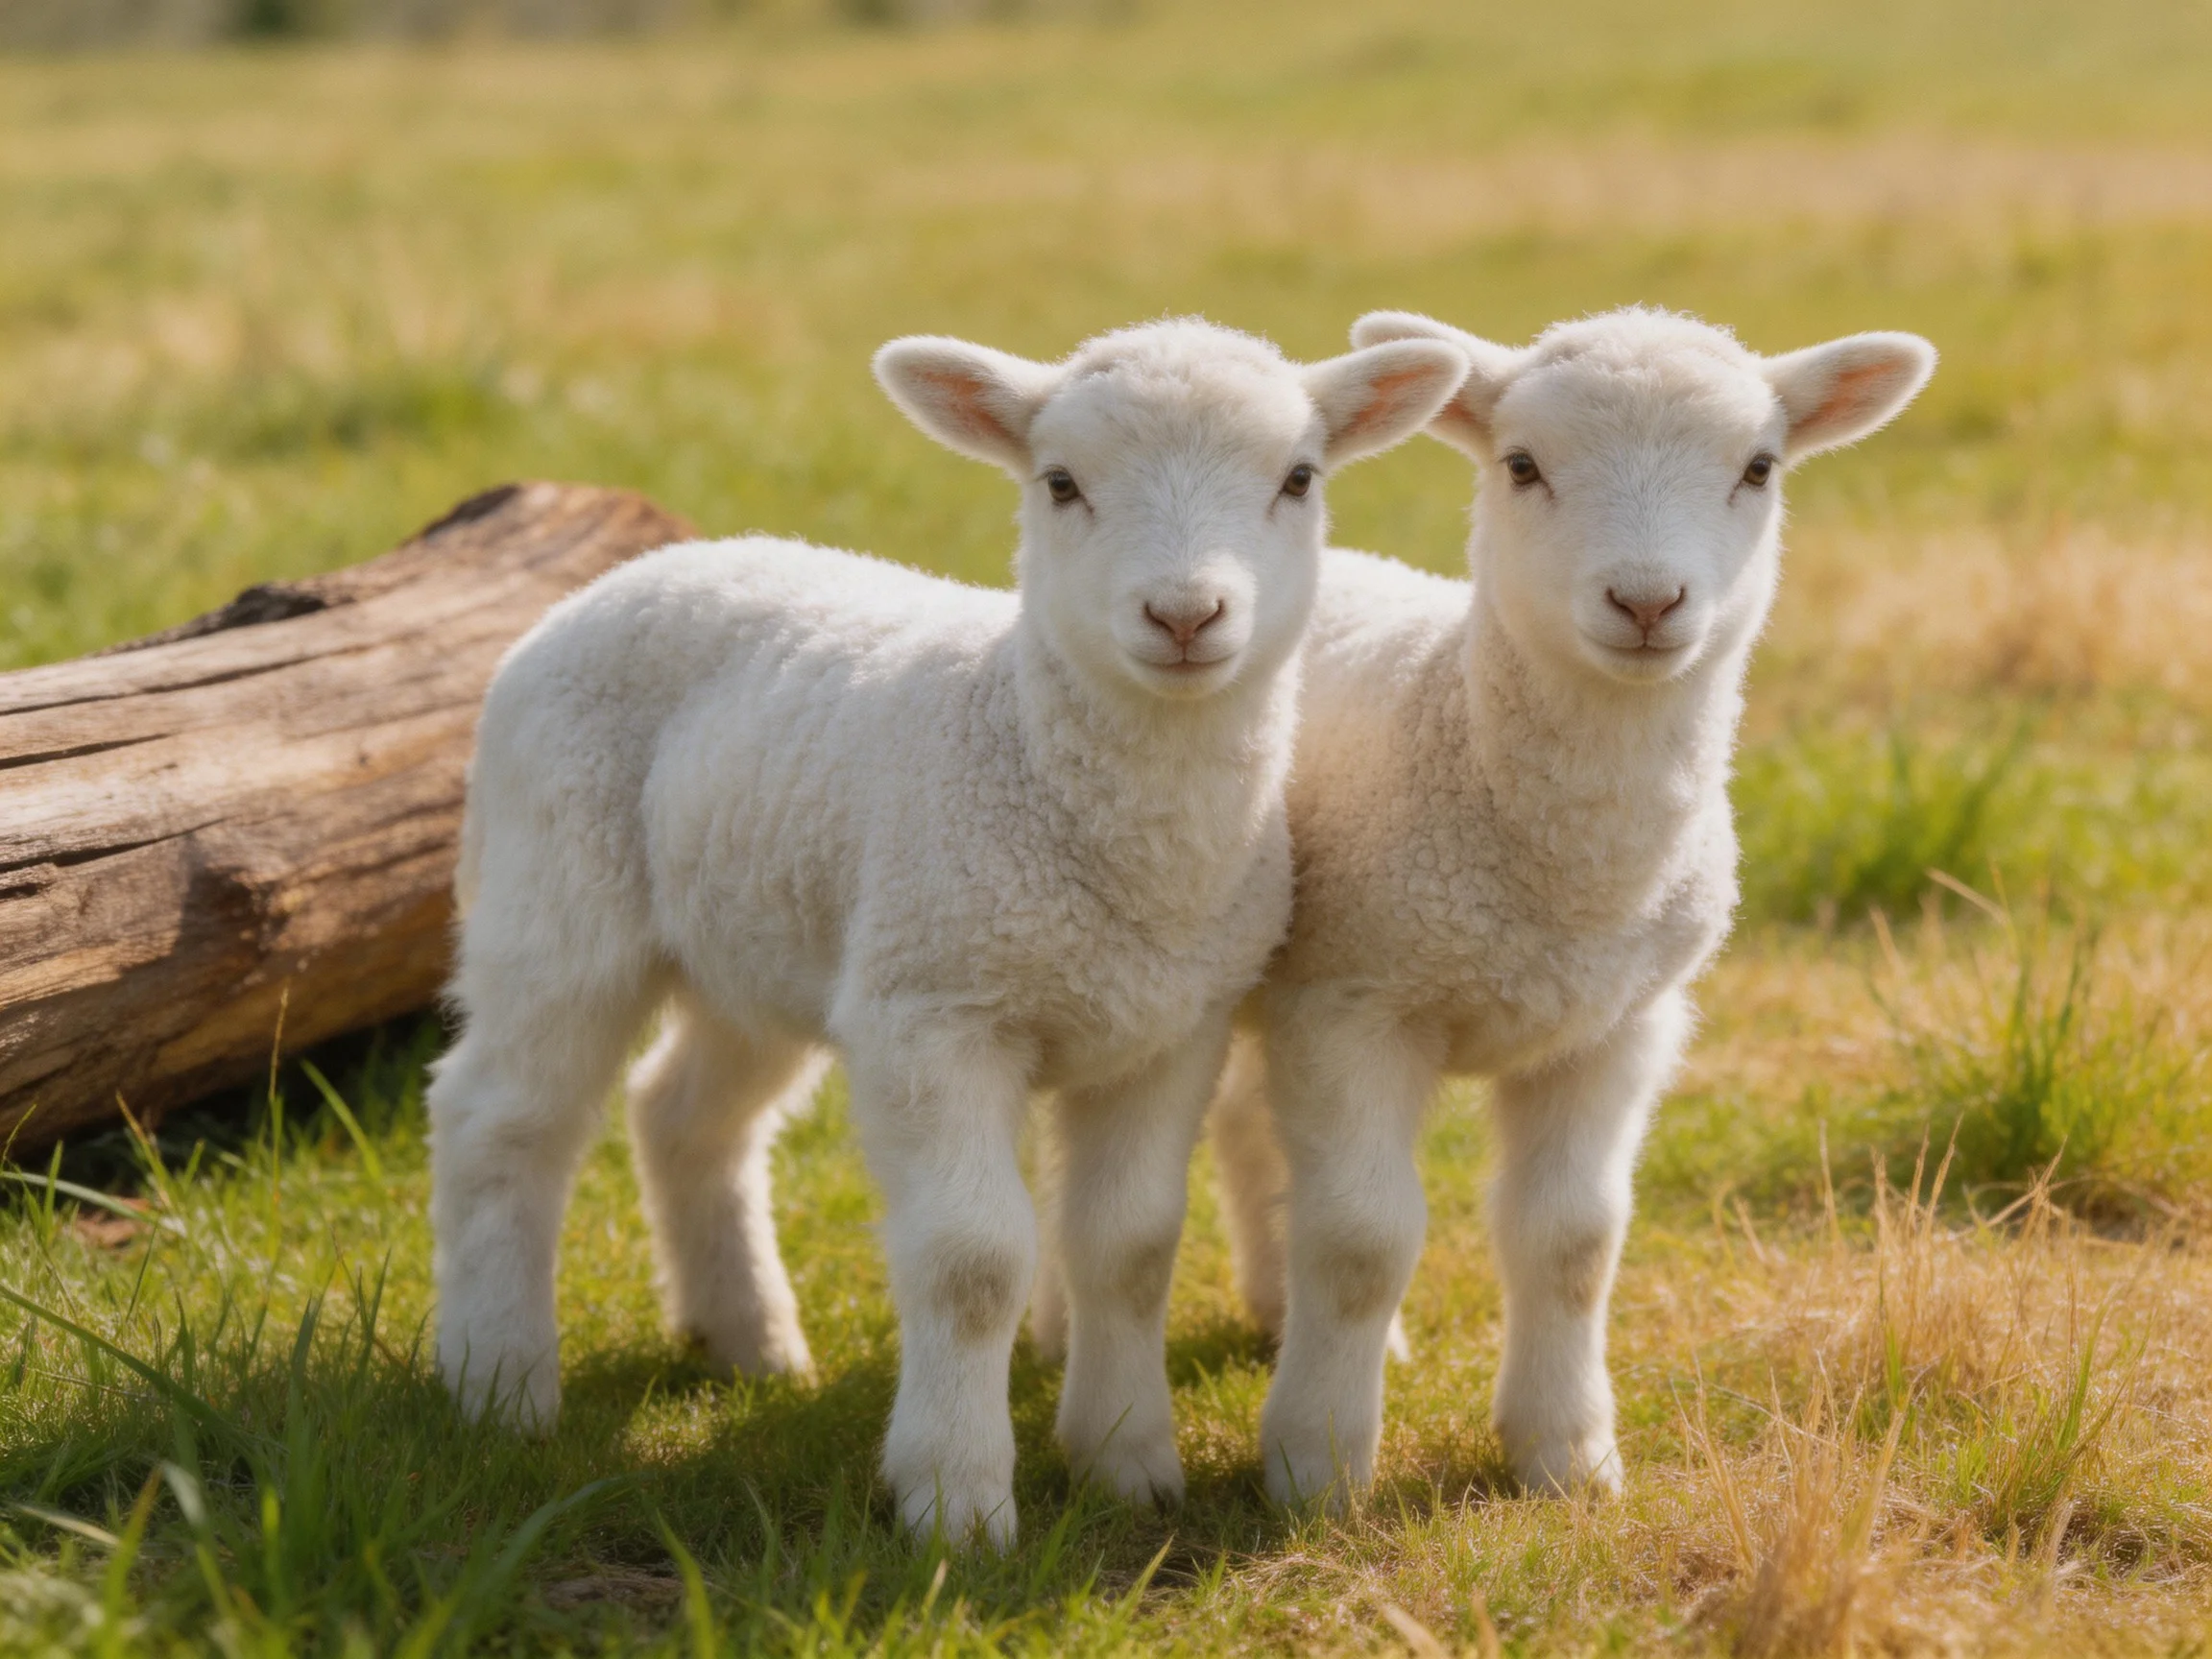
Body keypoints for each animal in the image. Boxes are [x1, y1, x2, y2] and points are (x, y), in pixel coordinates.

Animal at [423, 317, 1470, 1549]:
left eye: (1299, 478)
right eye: (1060, 483)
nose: (1183, 616)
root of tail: (635, 570)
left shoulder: (1170, 1028)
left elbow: (1127, 1248)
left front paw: (1126, 1463)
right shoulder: (935, 1012)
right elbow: (973, 1261)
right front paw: (958, 1503)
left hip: (767, 940)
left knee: (683, 1112)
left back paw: (751, 1345)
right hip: (557, 893)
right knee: (501, 1118)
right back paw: (497, 1384)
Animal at [1111, 307, 1934, 1503]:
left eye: (1759, 468)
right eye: (1523, 466)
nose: (1646, 602)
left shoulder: (1619, 1025)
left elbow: (1573, 1241)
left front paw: (1566, 1454)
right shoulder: (1353, 1004)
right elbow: (1361, 1239)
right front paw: (1319, 1466)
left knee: (1252, 1131)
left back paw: (1277, 1309)